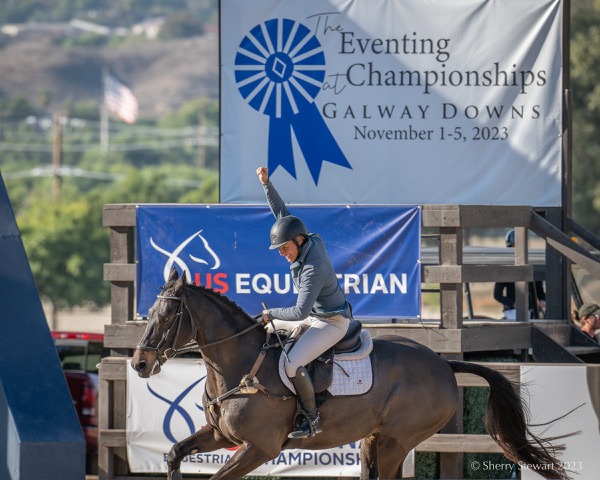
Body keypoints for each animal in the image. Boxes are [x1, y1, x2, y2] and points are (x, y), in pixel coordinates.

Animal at [131, 270, 568, 480]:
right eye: (148, 313)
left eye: (167, 317)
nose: (139, 364)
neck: (239, 365)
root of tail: (443, 364)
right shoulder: (222, 436)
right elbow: (173, 453)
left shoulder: (259, 448)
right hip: (375, 439)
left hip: (396, 441)